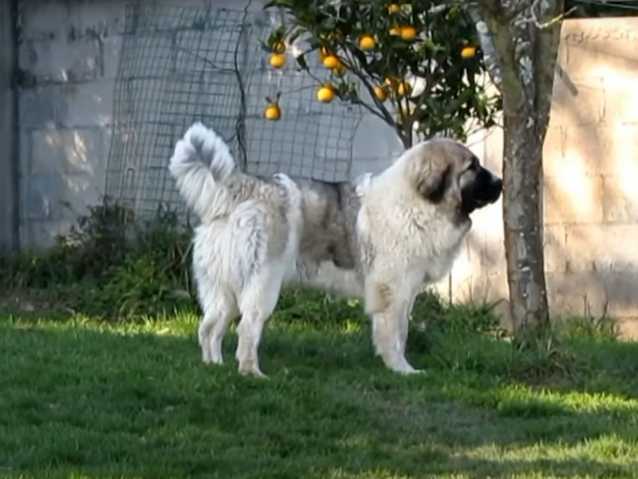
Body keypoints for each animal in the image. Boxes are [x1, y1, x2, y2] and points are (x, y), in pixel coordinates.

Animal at [169, 122, 502, 376]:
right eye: (473, 167)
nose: (500, 181)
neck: (419, 202)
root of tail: (243, 188)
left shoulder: (405, 292)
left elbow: (402, 332)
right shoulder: (391, 292)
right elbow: (394, 335)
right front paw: (402, 370)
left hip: (224, 288)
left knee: (209, 328)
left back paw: (214, 366)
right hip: (262, 284)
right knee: (247, 329)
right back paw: (251, 372)